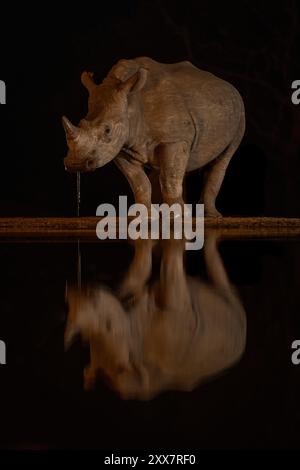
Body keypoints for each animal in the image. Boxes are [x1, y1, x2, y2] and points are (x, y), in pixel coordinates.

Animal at [62, 57, 244, 217]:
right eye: (81, 122)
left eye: (107, 130)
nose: (75, 164)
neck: (132, 104)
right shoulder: (121, 147)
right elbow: (139, 182)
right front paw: (143, 217)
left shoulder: (173, 139)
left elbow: (170, 177)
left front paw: (177, 217)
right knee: (175, 166)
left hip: (239, 114)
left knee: (221, 159)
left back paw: (211, 216)